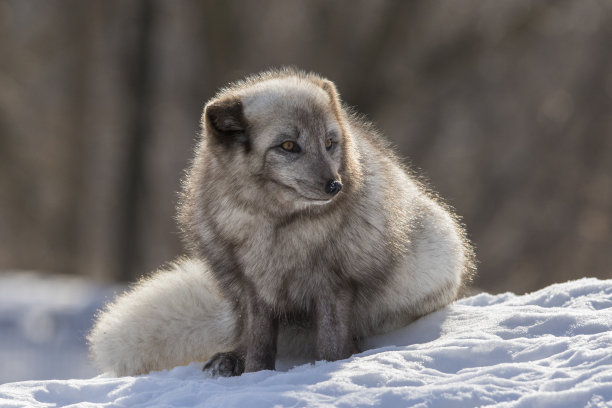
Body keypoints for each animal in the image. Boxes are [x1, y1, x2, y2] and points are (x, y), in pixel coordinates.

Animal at [88, 68, 476, 378]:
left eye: (330, 143)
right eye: (288, 146)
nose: (335, 185)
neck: (276, 226)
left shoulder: (334, 284)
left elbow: (332, 343)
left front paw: (331, 366)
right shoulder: (254, 289)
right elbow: (259, 344)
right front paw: (254, 374)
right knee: (243, 335)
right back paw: (230, 359)